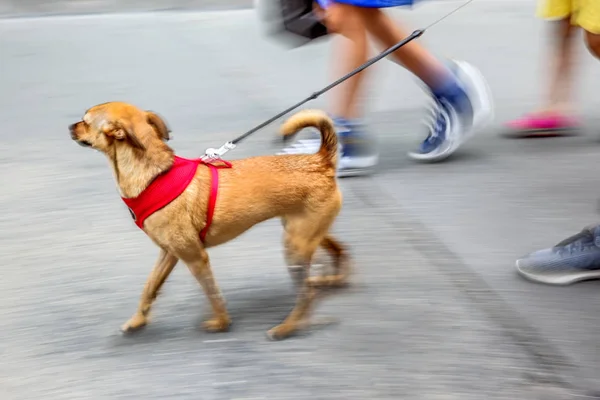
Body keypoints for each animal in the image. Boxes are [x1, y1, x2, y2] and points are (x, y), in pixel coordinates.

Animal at [69, 101, 352, 340]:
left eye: (85, 121)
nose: (70, 126)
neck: (155, 175)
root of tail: (321, 161)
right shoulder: (169, 253)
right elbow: (149, 288)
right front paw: (137, 321)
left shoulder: (195, 257)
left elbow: (213, 293)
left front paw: (221, 323)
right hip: (303, 233)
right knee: (339, 250)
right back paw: (334, 279)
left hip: (294, 246)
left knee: (306, 294)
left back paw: (288, 327)